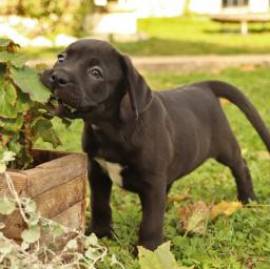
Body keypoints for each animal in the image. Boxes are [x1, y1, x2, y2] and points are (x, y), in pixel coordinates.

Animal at [40, 38, 270, 250]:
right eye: (61, 58)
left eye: (95, 73)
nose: (57, 77)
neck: (110, 128)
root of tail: (203, 86)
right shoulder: (97, 172)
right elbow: (100, 205)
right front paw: (100, 233)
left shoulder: (152, 182)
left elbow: (151, 220)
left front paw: (149, 248)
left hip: (224, 146)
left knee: (240, 166)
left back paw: (248, 198)